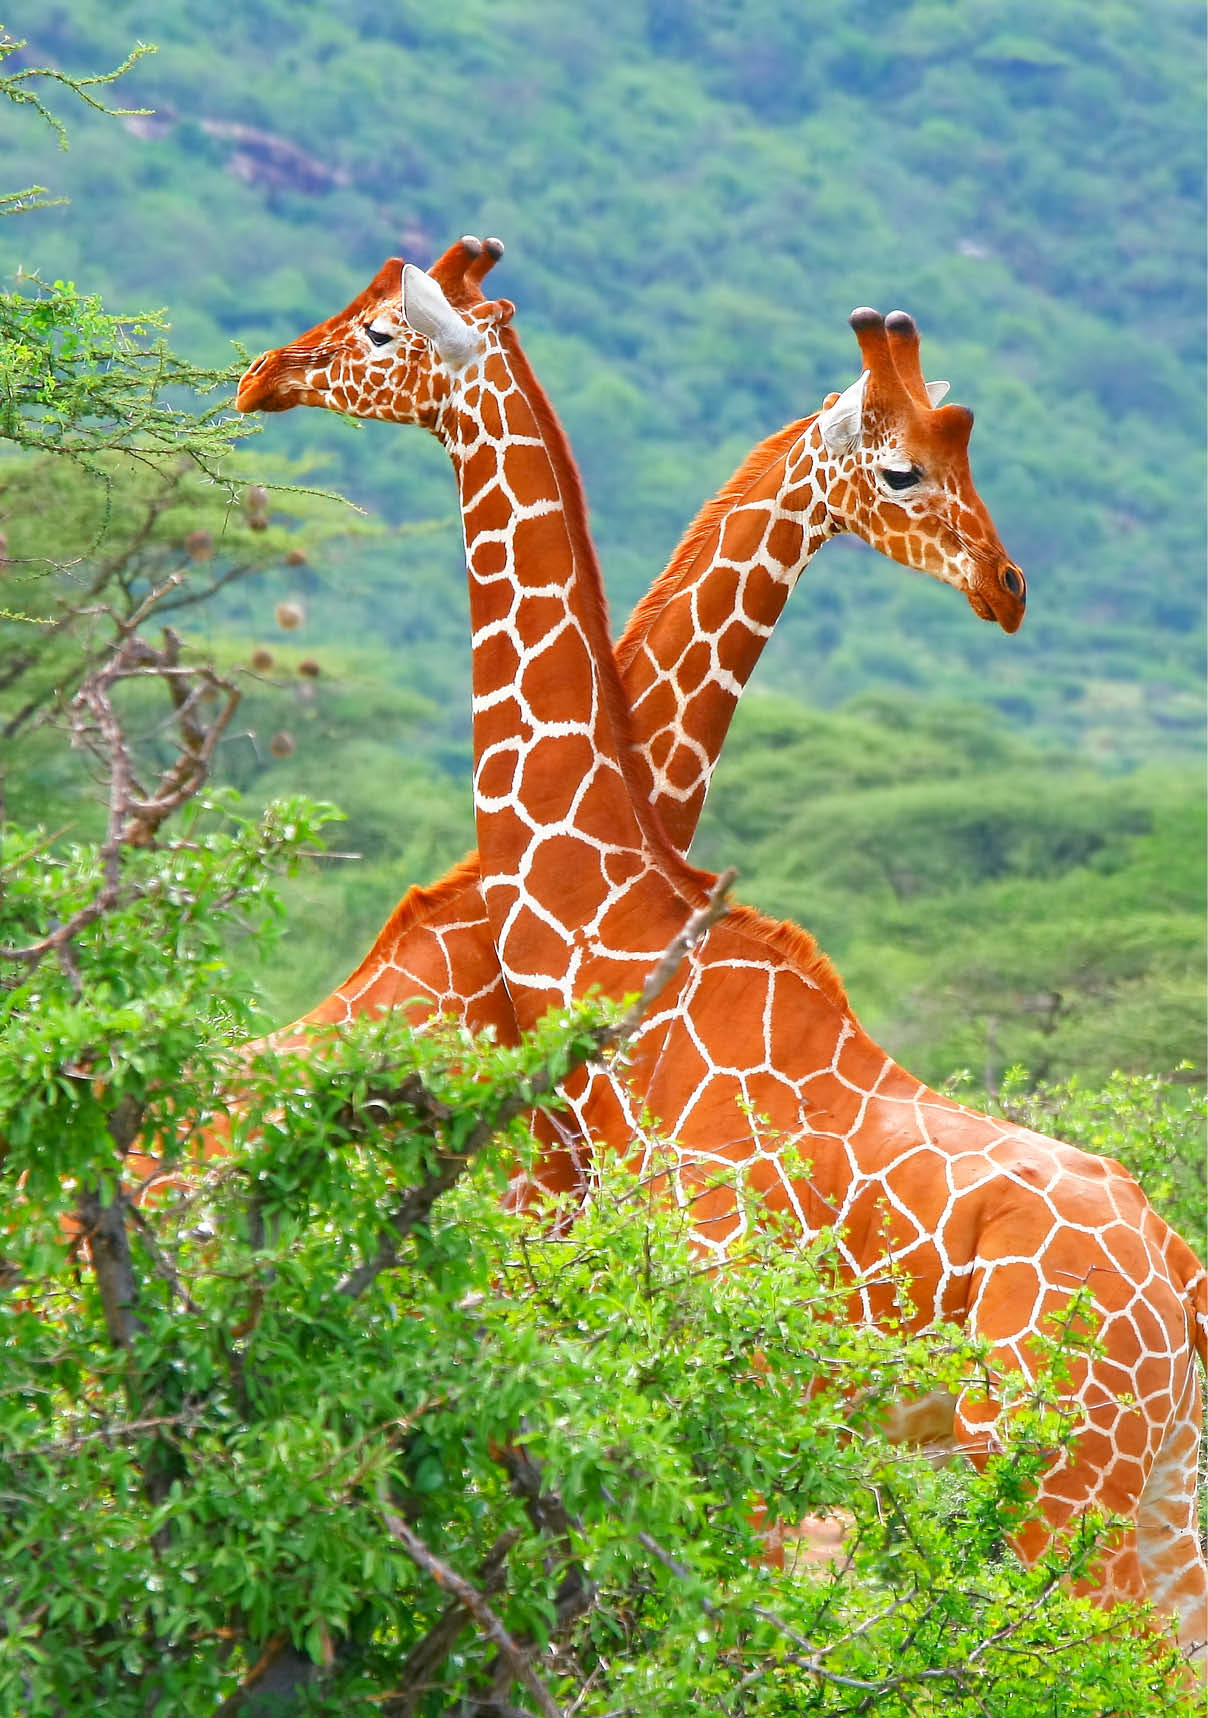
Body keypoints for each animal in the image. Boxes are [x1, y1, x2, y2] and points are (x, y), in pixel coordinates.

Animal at [236, 244, 1207, 1659]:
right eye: (914, 461)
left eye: (375, 327)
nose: (264, 373)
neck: (623, 956)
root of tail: (1179, 1281)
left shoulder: (711, 1358)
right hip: (1153, 1480)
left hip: (1051, 1466)